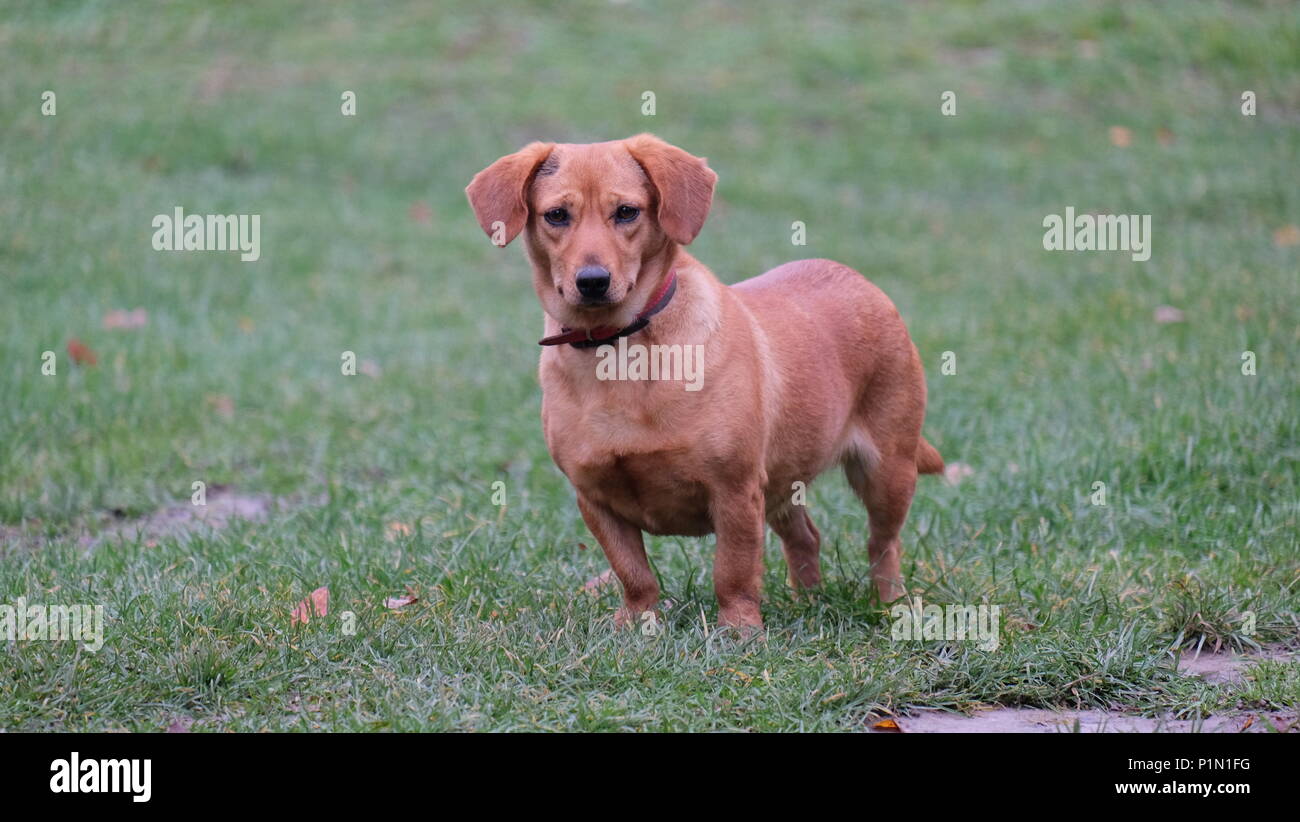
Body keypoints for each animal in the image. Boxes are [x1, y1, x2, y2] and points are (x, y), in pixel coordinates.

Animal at [467, 134, 946, 629]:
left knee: (883, 545)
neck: (620, 353)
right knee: (805, 537)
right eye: (557, 215)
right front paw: (636, 623)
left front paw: (740, 630)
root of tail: (854, 276)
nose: (593, 281)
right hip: (784, 482)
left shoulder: (735, 491)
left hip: (886, 471)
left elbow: (732, 571)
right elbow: (633, 573)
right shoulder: (595, 498)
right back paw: (808, 602)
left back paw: (889, 604)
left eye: (627, 212)